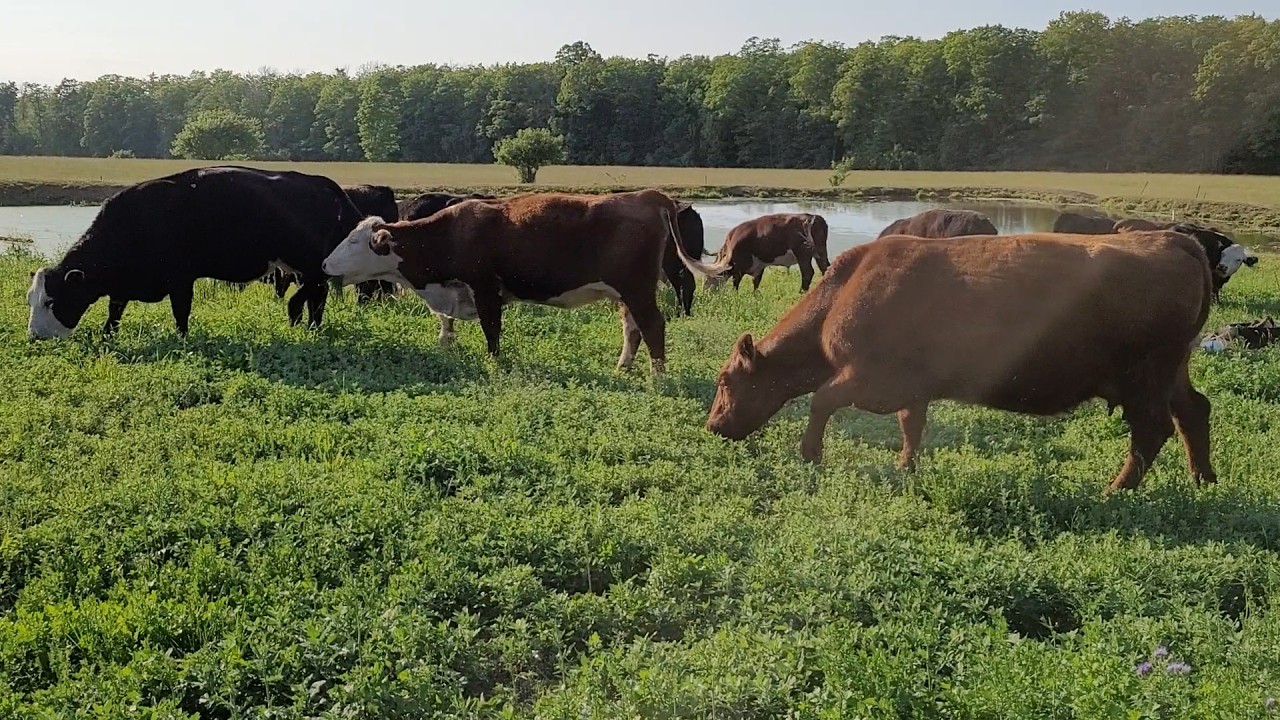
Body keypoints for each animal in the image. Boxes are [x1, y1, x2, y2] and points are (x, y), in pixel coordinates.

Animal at [27, 165, 362, 339]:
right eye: (30, 299)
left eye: (50, 300)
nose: (35, 336)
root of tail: (322, 183)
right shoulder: (123, 285)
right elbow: (115, 309)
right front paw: (108, 334)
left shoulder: (180, 279)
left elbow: (181, 311)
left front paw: (182, 338)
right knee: (314, 295)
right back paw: (308, 324)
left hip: (312, 264)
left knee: (317, 292)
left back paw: (308, 323)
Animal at [320, 189, 716, 374]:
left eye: (354, 242)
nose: (324, 264)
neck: (450, 234)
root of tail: (649, 195)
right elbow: (447, 327)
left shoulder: (486, 291)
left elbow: (491, 332)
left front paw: (493, 362)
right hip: (626, 293)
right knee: (632, 328)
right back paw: (624, 366)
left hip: (638, 289)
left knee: (653, 326)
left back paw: (658, 374)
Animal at [704, 227, 1226, 494]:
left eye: (726, 381)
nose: (713, 426)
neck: (844, 291)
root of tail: (1175, 240)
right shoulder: (911, 388)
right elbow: (911, 426)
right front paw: (905, 468)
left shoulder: (870, 378)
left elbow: (821, 401)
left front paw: (810, 455)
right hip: (1172, 372)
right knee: (1193, 412)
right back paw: (1203, 480)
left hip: (1145, 377)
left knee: (1152, 430)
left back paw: (1116, 489)